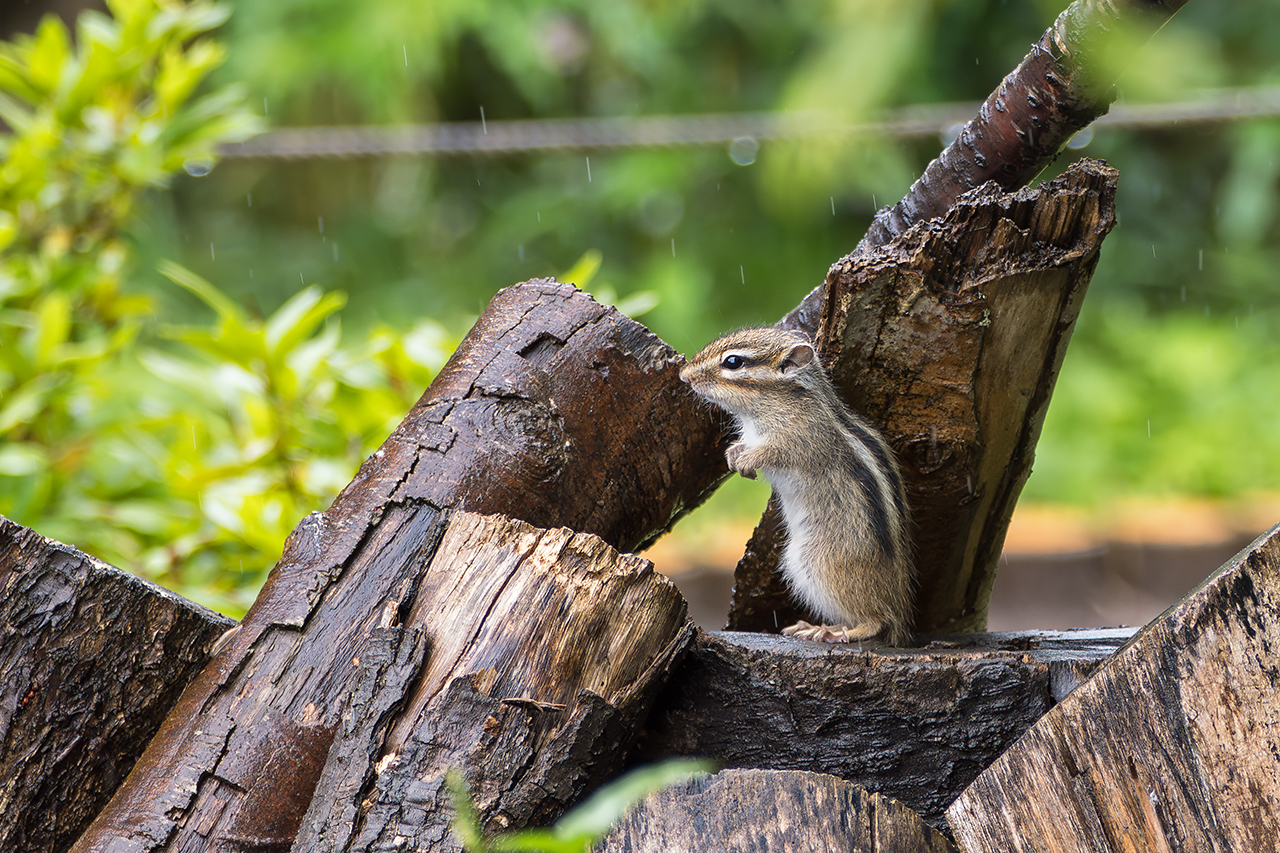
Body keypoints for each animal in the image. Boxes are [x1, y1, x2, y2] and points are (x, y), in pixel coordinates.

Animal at [679, 326, 914, 646]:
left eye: (733, 362)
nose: (684, 376)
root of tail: (899, 603)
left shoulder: (798, 439)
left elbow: (774, 453)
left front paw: (747, 459)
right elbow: (744, 445)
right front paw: (733, 455)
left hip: (818, 561)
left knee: (876, 620)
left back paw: (827, 630)